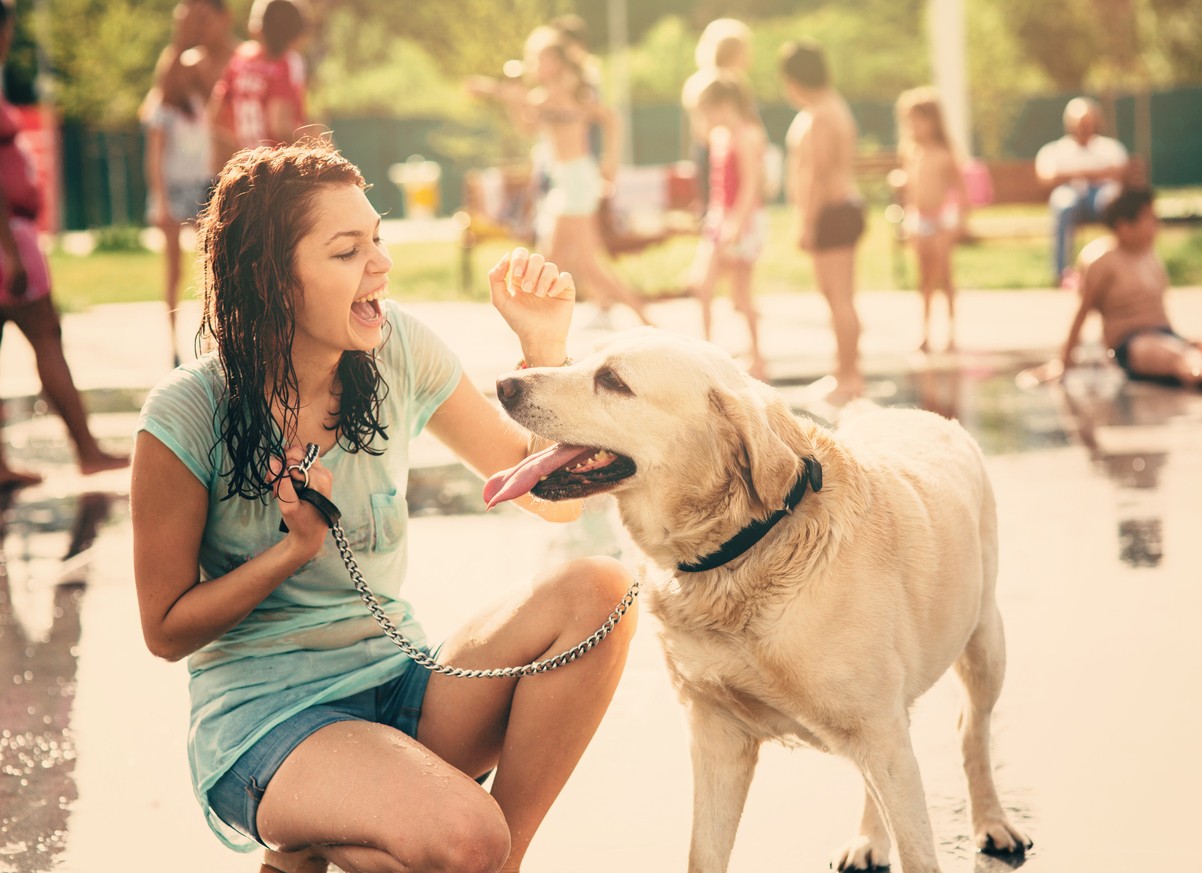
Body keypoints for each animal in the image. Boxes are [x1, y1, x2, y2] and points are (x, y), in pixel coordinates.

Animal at [483, 331, 1028, 870]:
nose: (503, 384)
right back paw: (870, 838)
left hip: (985, 644)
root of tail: (915, 412)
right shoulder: (718, 736)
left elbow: (919, 853)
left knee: (972, 732)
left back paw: (992, 822)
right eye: (578, 358)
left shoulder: (882, 738)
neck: (739, 549)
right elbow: (704, 855)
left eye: (613, 380)